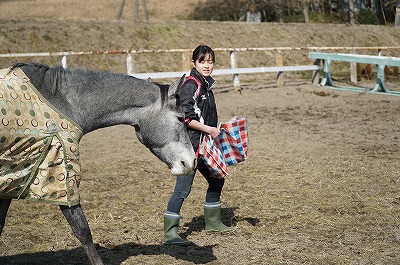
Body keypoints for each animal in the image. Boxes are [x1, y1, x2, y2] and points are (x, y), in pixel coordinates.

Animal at [0, 62, 197, 264]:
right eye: (180, 118)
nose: (192, 161)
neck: (62, 102)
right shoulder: (61, 175)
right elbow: (82, 230)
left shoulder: (14, 176)